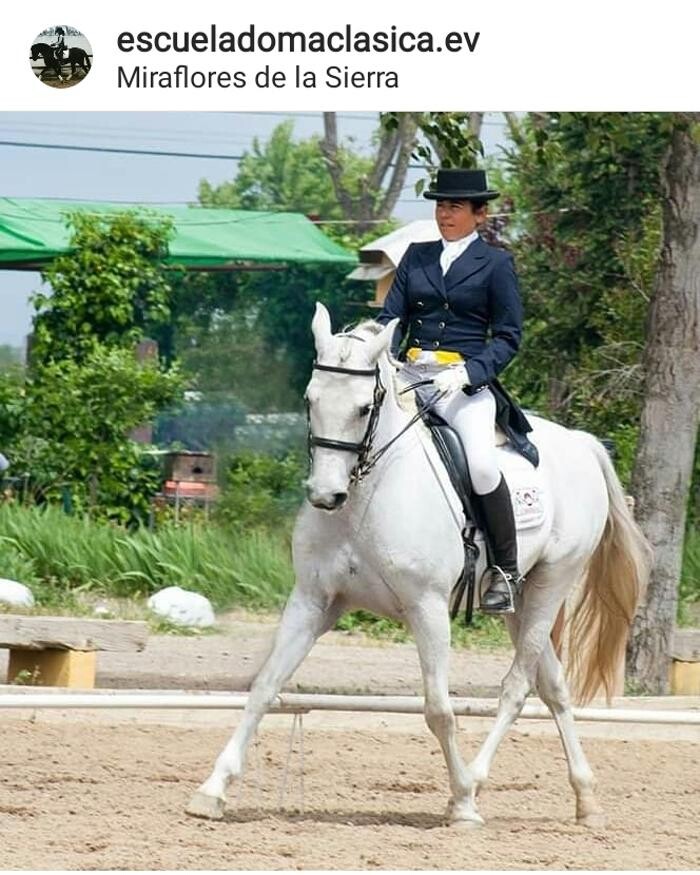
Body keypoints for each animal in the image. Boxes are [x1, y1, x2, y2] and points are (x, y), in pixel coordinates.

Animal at [187, 304, 652, 832]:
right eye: (309, 399)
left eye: (363, 409)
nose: (325, 495)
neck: (365, 495)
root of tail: (580, 443)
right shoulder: (311, 601)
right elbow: (265, 686)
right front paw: (212, 789)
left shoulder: (426, 607)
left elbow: (438, 709)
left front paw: (464, 804)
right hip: (521, 599)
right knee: (551, 685)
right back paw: (586, 799)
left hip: (553, 582)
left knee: (516, 688)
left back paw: (474, 784)